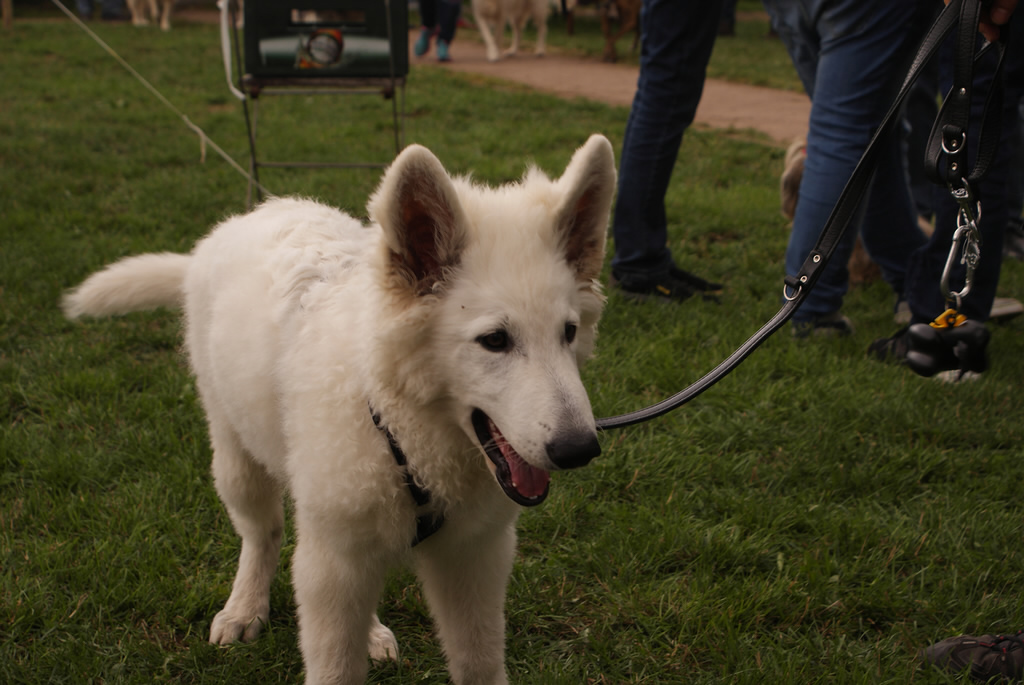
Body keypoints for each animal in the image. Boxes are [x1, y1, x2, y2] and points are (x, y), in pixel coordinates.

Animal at [63, 135, 616, 684]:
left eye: (568, 333)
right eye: (495, 340)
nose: (580, 449)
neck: (397, 427)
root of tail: (255, 213)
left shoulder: (472, 556)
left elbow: (477, 663)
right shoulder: (332, 563)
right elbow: (333, 666)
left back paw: (369, 632)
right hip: (236, 455)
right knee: (261, 533)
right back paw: (244, 606)